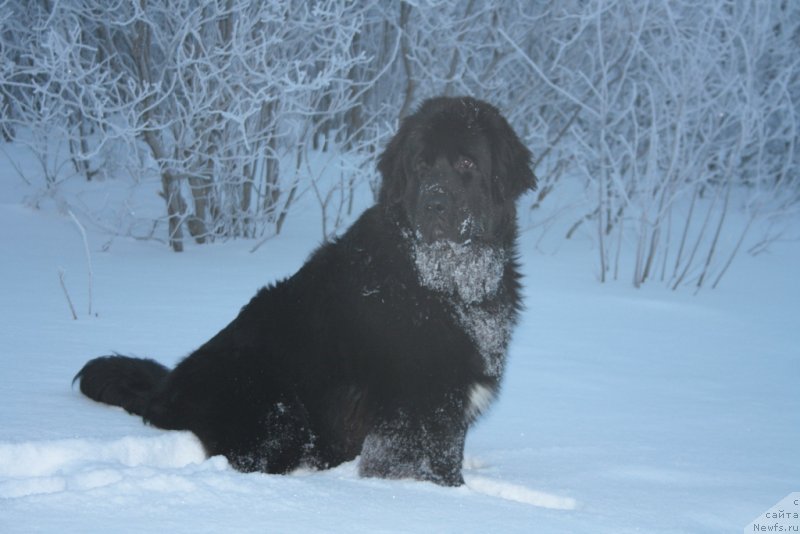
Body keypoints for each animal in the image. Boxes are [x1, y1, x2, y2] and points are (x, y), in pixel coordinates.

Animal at [76, 94, 536, 488]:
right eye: (421, 166)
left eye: (466, 162)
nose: (434, 204)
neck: (447, 283)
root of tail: (167, 387)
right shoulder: (414, 409)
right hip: (279, 416)